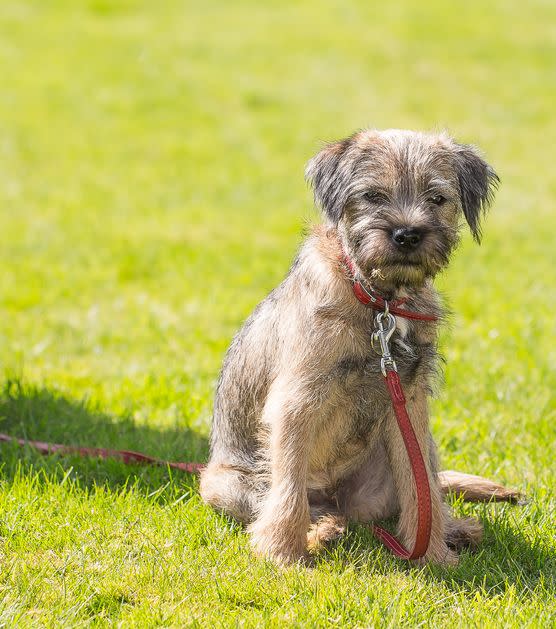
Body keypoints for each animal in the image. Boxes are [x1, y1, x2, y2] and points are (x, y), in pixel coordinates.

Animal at [201, 130, 520, 568]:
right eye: (371, 195)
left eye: (437, 198)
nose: (407, 235)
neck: (379, 301)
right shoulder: (296, 400)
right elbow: (288, 489)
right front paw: (283, 555)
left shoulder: (411, 400)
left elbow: (422, 488)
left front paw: (433, 556)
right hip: (223, 484)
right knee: (300, 503)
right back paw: (322, 531)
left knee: (425, 486)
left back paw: (455, 530)